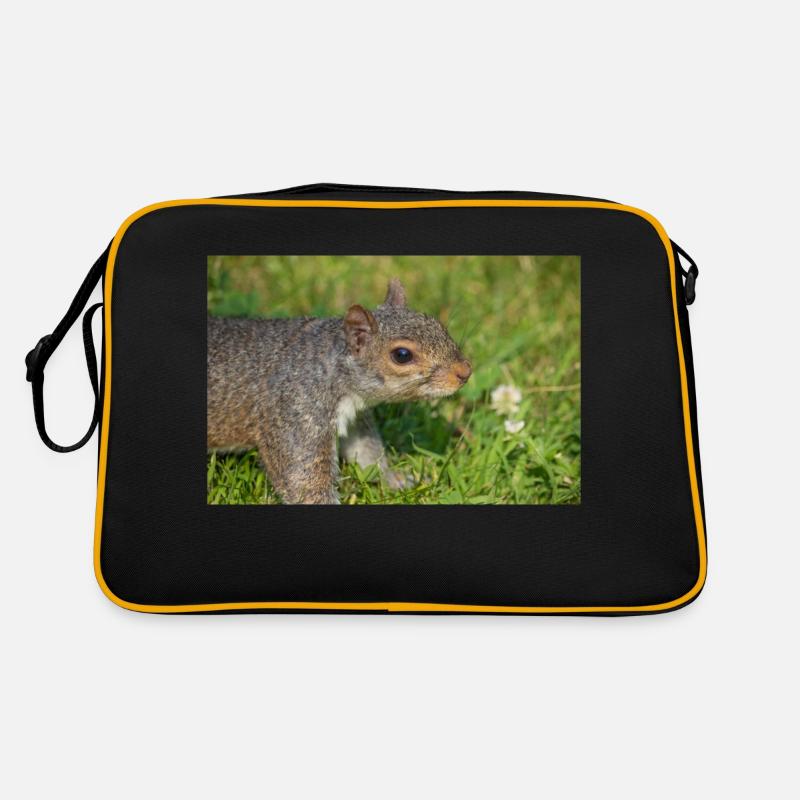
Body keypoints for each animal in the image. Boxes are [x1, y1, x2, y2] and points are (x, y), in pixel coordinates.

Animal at [208, 278, 472, 504]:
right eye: (402, 355)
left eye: (437, 324)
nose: (465, 372)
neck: (331, 368)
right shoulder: (294, 413)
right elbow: (303, 482)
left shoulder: (355, 418)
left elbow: (366, 453)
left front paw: (397, 480)